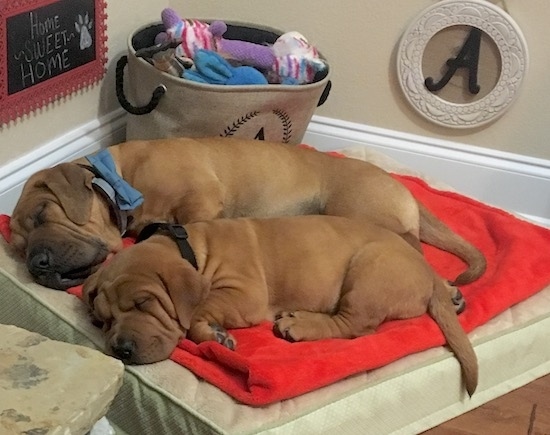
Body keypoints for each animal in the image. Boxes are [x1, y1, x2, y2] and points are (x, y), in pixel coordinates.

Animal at [9, 138, 488, 292]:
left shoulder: (200, 200)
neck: (122, 180)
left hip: (362, 213)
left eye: (43, 213)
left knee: (414, 253)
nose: (37, 264)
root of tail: (399, 186)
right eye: (15, 249)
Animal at [84, 216, 480, 396]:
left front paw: (211, 333)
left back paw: (298, 324)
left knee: (353, 325)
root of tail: (426, 272)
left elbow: (197, 310)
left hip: (370, 268)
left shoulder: (244, 292)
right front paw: (216, 335)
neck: (194, 251)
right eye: (103, 320)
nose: (121, 349)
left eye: (143, 303)